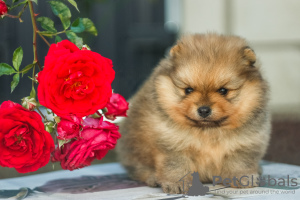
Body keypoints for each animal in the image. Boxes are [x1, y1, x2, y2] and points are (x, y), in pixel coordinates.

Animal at [116, 33, 270, 194]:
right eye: (188, 90)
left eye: (223, 91)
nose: (203, 110)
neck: (208, 130)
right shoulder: (172, 145)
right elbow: (177, 166)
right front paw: (177, 183)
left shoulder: (245, 144)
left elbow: (240, 161)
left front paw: (242, 177)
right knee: (139, 168)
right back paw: (153, 178)